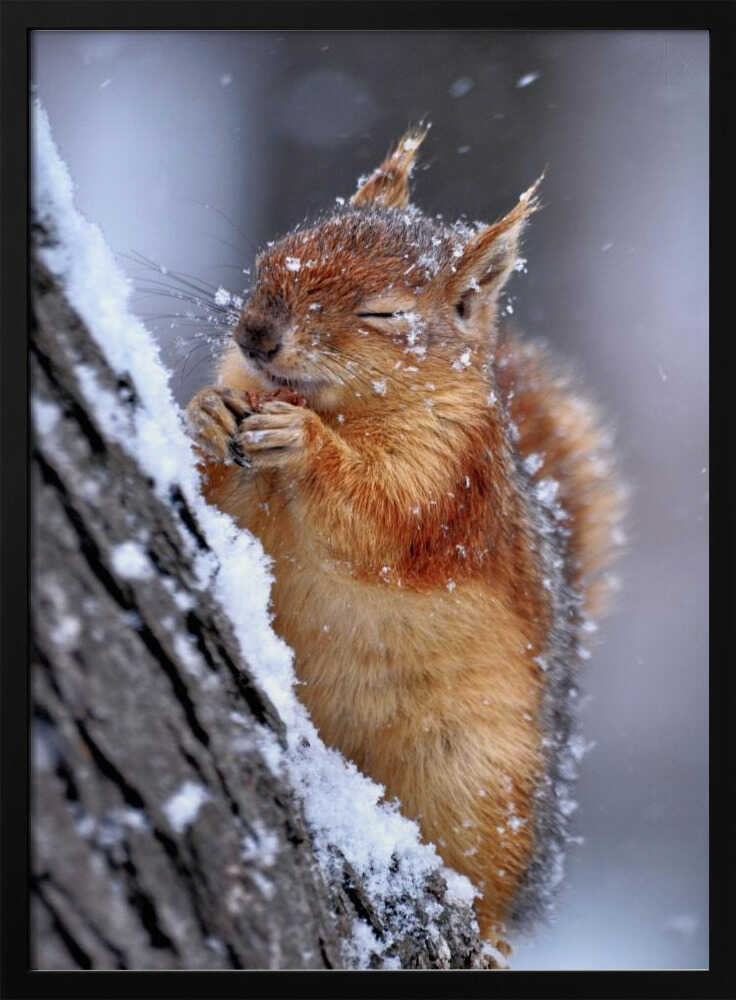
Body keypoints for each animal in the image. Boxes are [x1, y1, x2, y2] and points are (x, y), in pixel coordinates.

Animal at [186, 126, 624, 951]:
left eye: (385, 314)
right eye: (277, 252)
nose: (255, 335)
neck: (341, 408)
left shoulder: (449, 483)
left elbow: (382, 518)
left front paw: (308, 447)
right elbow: (218, 491)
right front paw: (208, 409)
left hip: (473, 776)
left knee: (485, 884)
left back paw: (489, 933)